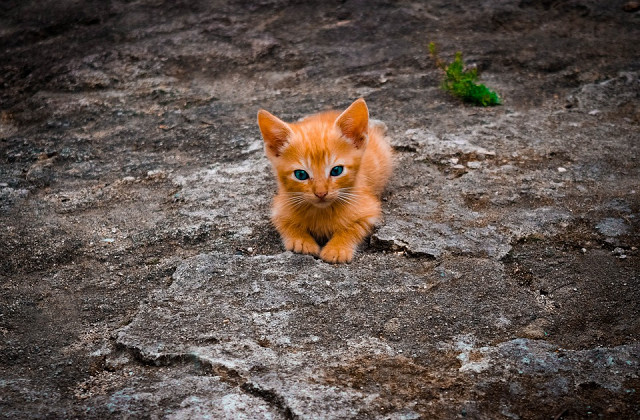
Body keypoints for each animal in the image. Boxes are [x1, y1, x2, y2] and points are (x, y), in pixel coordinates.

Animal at [258, 98, 392, 262]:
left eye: (336, 171)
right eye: (301, 174)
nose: (321, 193)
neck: (322, 211)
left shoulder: (369, 209)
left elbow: (353, 227)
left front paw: (337, 248)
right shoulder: (279, 207)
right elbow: (286, 224)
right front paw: (301, 241)